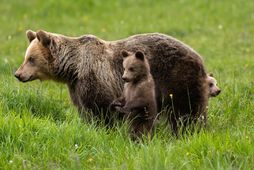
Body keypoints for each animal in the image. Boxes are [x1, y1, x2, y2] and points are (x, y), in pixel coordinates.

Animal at [14, 30, 208, 134]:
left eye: (31, 59)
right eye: (26, 57)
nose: (17, 74)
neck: (73, 67)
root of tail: (199, 58)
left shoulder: (96, 77)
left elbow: (102, 108)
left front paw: (105, 130)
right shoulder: (76, 86)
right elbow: (85, 109)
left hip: (177, 77)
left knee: (185, 111)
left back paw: (187, 131)